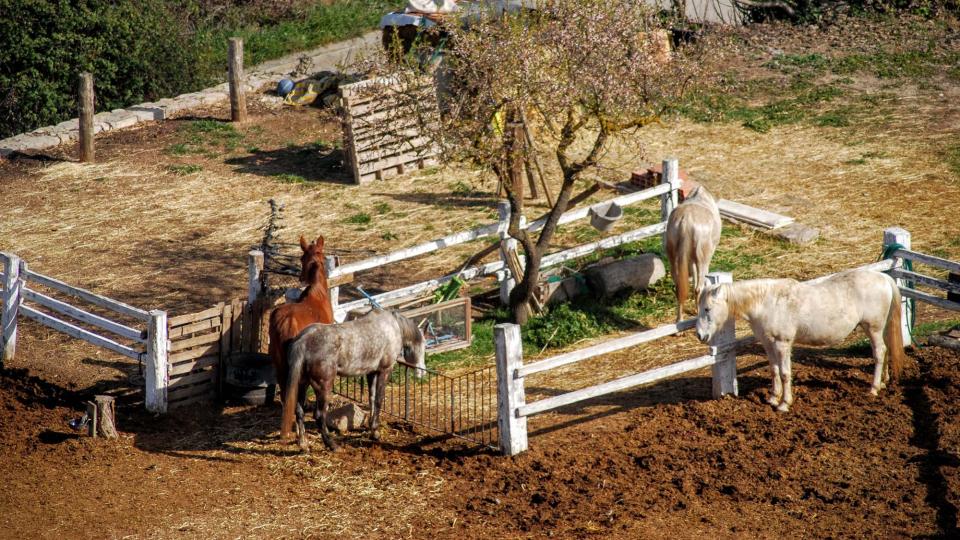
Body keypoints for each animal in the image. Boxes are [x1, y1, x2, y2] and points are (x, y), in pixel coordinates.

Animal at [266, 234, 334, 428]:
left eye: (302, 258)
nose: (301, 277)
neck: (317, 294)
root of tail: (287, 322)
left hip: (280, 366)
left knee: (286, 396)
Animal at [668, 185, 720, 320]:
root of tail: (686, 221)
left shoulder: (690, 259)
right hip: (703, 258)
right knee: (698, 288)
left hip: (672, 256)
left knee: (679, 288)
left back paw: (679, 320)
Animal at [692, 270, 904, 414]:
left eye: (707, 309)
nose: (700, 335)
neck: (768, 303)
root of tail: (883, 278)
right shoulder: (768, 344)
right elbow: (774, 370)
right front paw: (773, 398)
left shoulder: (782, 344)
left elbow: (785, 373)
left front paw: (784, 404)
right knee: (885, 350)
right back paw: (883, 382)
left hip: (873, 328)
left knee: (879, 352)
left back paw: (874, 388)